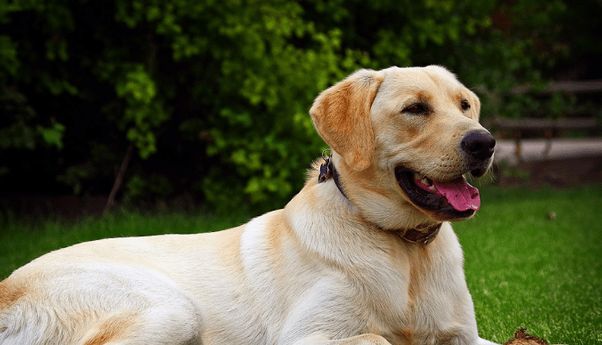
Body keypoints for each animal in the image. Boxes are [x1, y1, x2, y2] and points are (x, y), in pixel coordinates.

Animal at [1, 65, 496, 344]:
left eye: (464, 105)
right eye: (415, 109)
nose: (484, 142)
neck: (403, 247)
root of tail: (8, 287)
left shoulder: (467, 337)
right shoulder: (306, 337)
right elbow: (380, 339)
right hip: (169, 309)